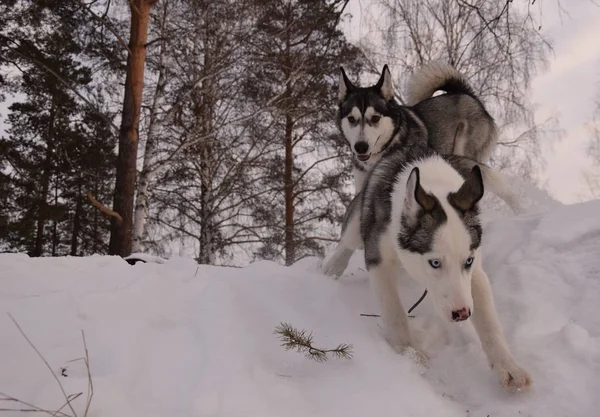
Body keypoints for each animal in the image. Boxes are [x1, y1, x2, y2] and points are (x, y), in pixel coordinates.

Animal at [324, 145, 528, 388]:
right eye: (435, 262)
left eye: (467, 261)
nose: (462, 314)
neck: (433, 183)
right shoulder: (378, 261)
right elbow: (394, 311)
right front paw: (409, 352)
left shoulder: (475, 273)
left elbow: (489, 322)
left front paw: (507, 365)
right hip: (358, 227)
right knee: (348, 242)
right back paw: (331, 268)